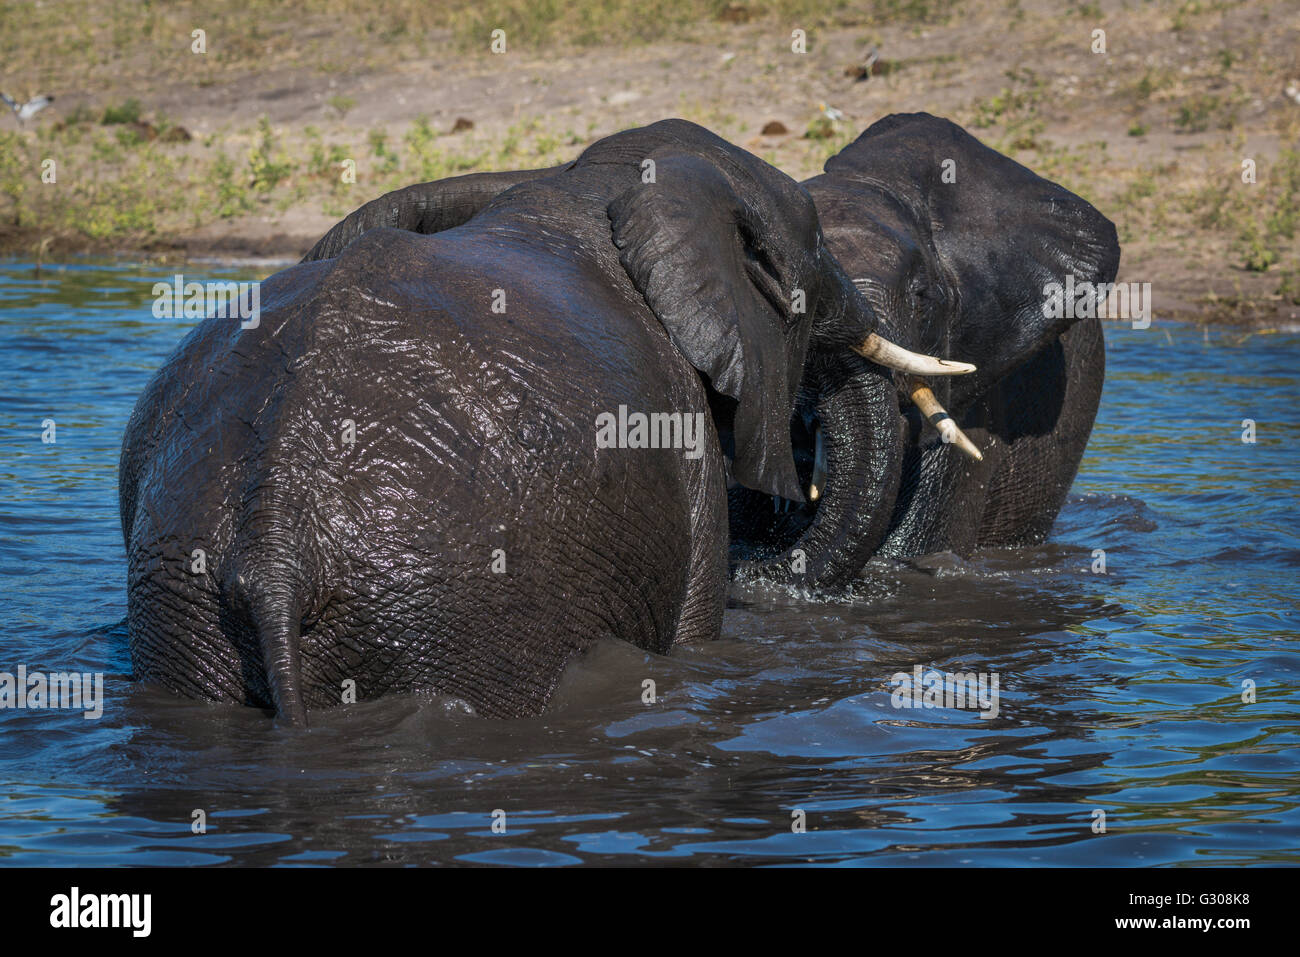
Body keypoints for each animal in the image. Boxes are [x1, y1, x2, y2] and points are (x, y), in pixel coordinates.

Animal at [119, 119, 964, 723]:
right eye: (817, 244)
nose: (768, 568)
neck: (594, 182)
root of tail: (277, 547)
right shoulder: (681, 444)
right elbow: (694, 626)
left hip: (182, 586)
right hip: (461, 604)